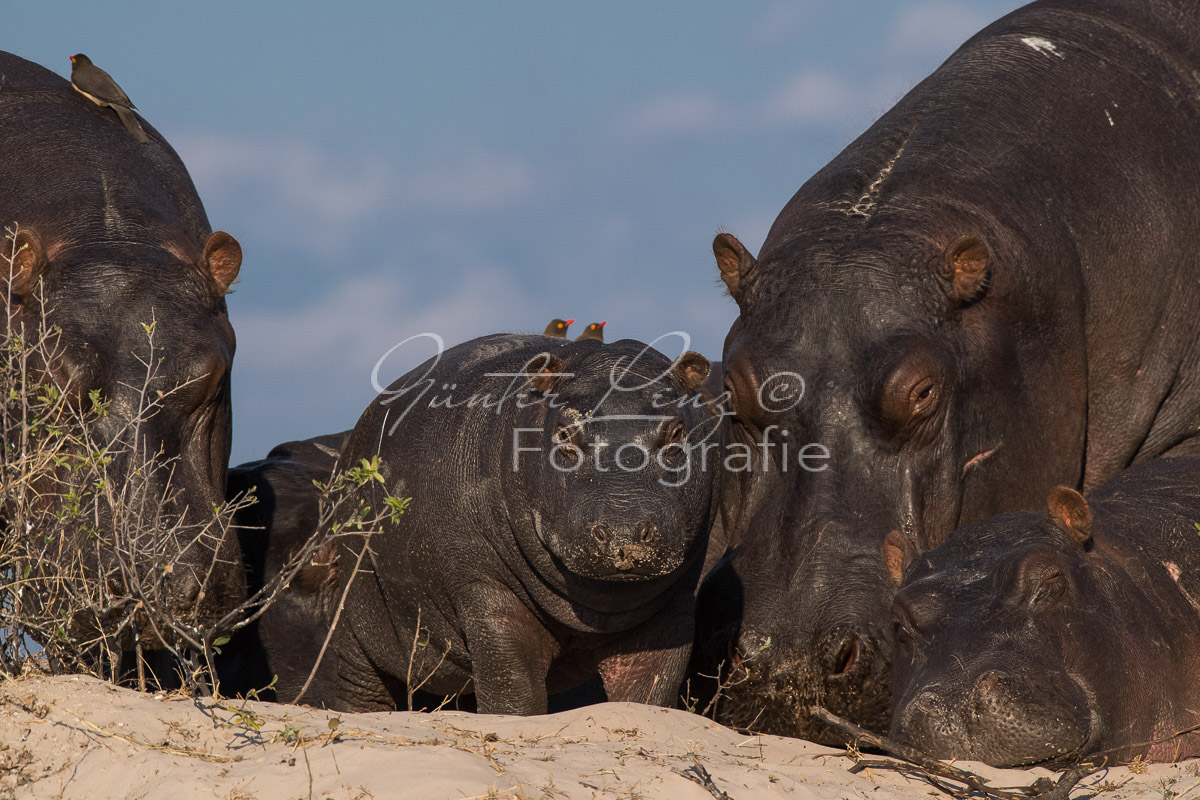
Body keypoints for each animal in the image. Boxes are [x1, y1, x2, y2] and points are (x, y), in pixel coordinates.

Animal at [328, 331, 715, 714]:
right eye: (564, 433)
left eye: (678, 432)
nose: (625, 533)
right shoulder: (489, 596)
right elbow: (514, 693)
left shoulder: (674, 607)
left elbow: (649, 694)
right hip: (354, 634)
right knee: (359, 689)